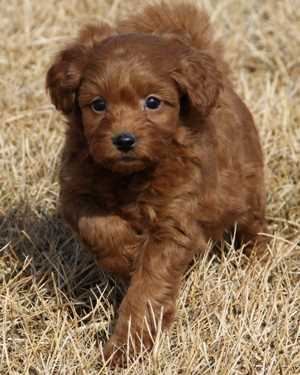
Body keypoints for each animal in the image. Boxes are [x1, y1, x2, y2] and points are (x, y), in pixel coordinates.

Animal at [46, 0, 268, 364]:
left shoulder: (173, 221)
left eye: (152, 102)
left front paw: (125, 351)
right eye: (98, 105)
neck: (132, 175)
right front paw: (125, 256)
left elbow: (147, 291)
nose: (124, 140)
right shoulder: (75, 190)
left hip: (247, 190)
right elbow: (97, 225)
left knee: (253, 228)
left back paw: (256, 261)